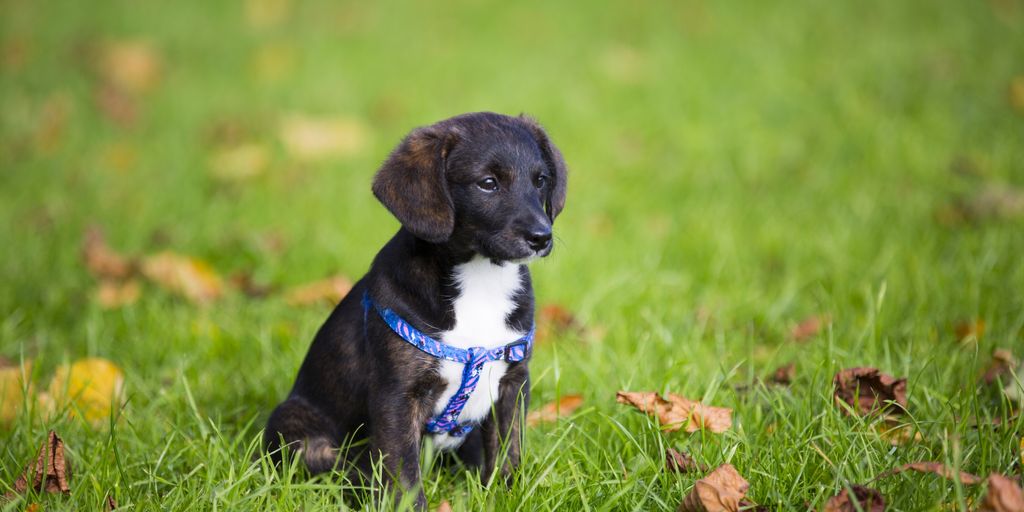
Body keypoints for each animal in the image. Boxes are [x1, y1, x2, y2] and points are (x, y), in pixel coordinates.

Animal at [264, 110, 569, 505]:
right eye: (488, 184)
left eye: (541, 180)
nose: (541, 237)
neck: (481, 278)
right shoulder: (397, 396)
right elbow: (404, 471)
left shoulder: (513, 383)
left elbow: (507, 451)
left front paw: (507, 495)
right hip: (295, 425)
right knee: (338, 465)